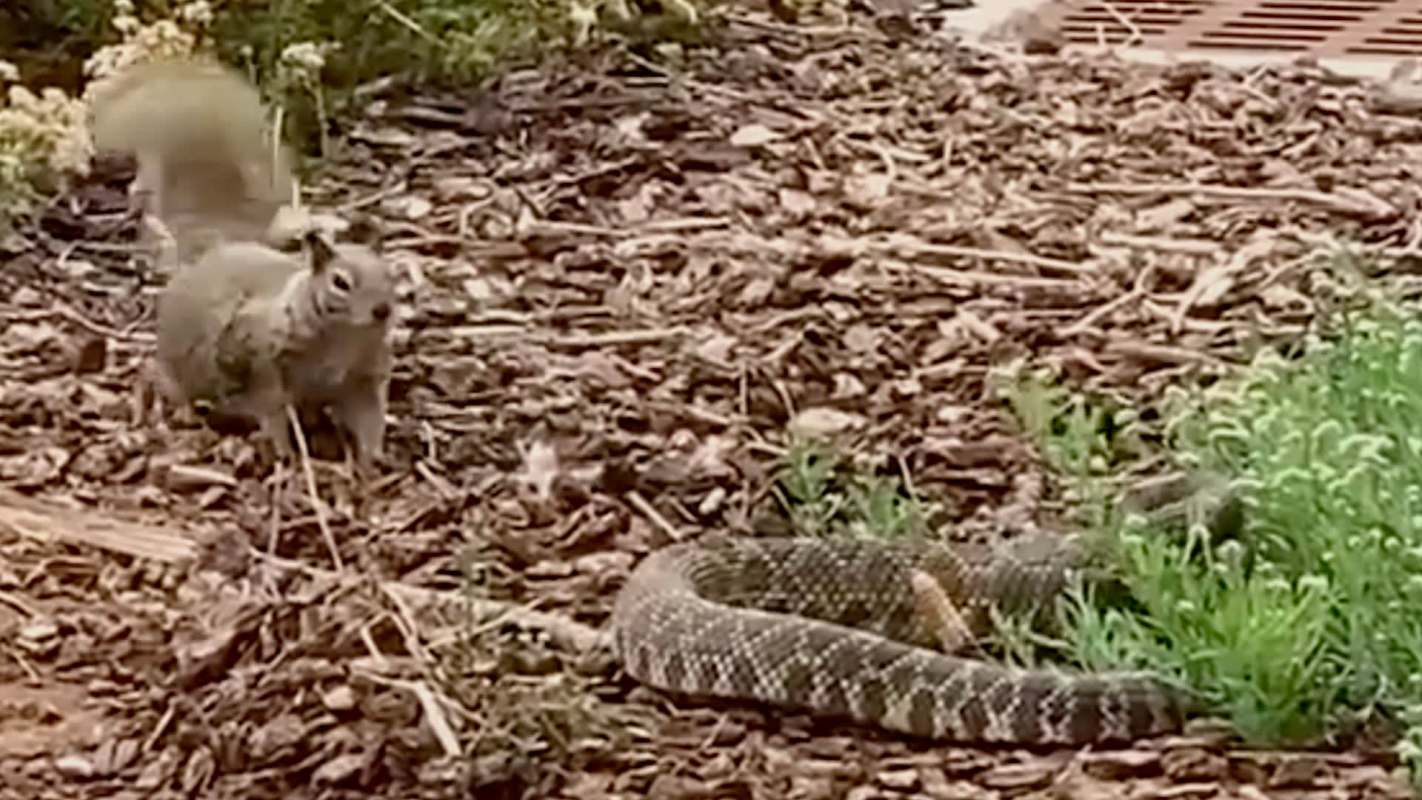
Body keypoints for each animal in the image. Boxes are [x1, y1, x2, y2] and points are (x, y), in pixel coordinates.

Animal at [90, 58, 398, 470]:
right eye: (340, 282)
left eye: (391, 275)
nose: (382, 310)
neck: (343, 338)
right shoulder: (262, 363)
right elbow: (273, 412)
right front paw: (286, 454)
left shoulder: (364, 378)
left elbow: (369, 419)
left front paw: (373, 459)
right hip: (185, 365)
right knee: (154, 374)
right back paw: (162, 407)